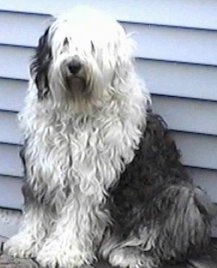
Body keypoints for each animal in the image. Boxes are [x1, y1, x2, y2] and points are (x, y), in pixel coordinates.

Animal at [4, 6, 216, 268]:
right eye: (65, 42)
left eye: (92, 45)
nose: (74, 65)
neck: (77, 111)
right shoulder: (44, 167)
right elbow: (38, 211)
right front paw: (27, 243)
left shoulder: (90, 179)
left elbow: (76, 219)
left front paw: (62, 253)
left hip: (181, 194)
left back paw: (131, 253)